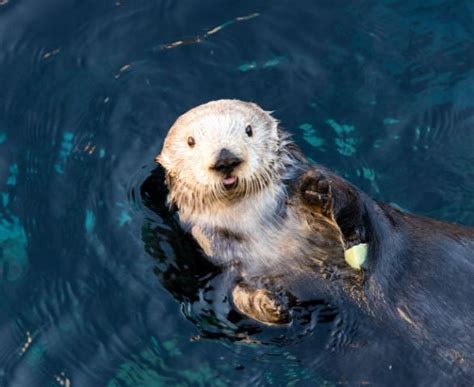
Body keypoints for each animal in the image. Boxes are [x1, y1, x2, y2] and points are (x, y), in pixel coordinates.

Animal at [157, 98, 474, 378]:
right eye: (191, 141)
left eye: (248, 130)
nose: (226, 159)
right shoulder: (223, 259)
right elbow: (237, 296)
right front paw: (271, 306)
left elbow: (350, 202)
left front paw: (317, 191)